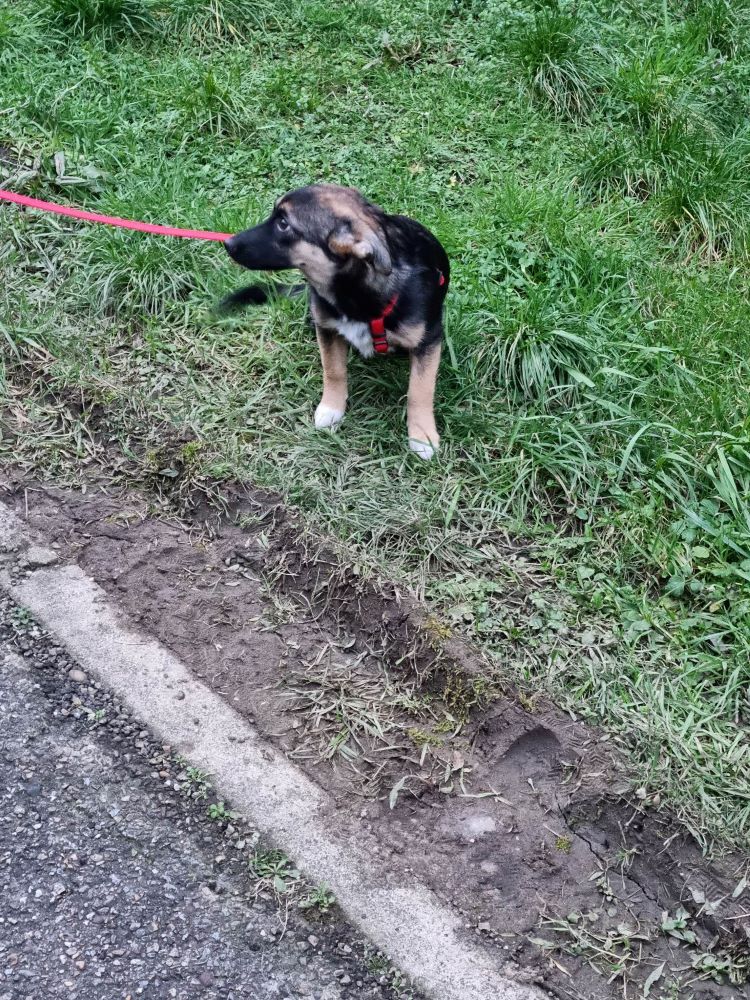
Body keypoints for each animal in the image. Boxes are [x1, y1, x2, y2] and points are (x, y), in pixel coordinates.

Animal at [220, 184, 450, 458]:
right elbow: (333, 370)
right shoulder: (327, 328)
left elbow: (420, 390)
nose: (228, 243)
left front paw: (422, 435)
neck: (353, 294)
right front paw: (331, 407)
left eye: (284, 224)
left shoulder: (428, 341)